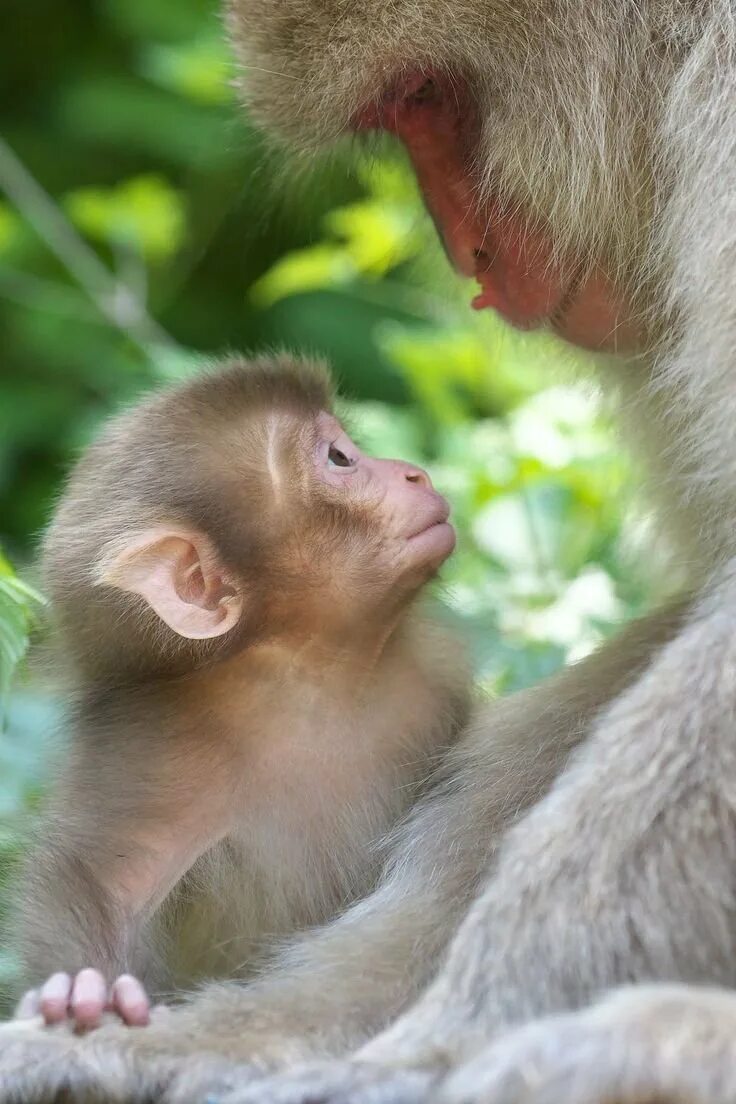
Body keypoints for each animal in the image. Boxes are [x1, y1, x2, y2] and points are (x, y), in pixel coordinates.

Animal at [15, 355, 465, 1033]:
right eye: (339, 458)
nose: (414, 472)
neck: (309, 683)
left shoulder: (434, 682)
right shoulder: (154, 743)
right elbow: (103, 882)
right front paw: (82, 989)